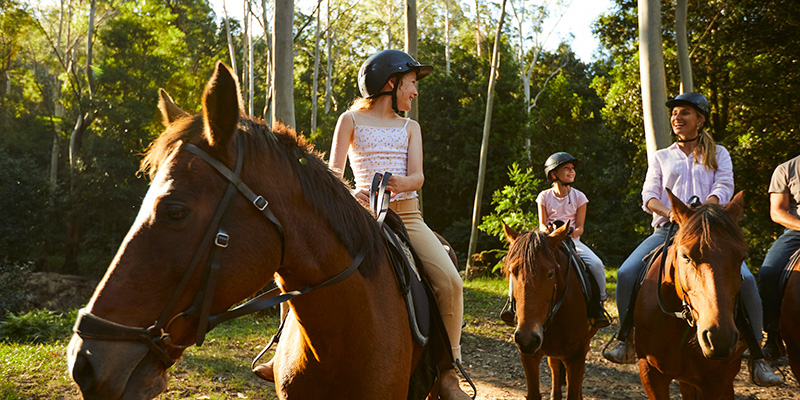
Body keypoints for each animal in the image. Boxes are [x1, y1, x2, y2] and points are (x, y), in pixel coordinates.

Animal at [504, 222, 596, 400]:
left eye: (551, 273)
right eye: (513, 271)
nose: (527, 338)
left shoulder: (576, 357)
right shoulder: (529, 356)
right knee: (554, 365)